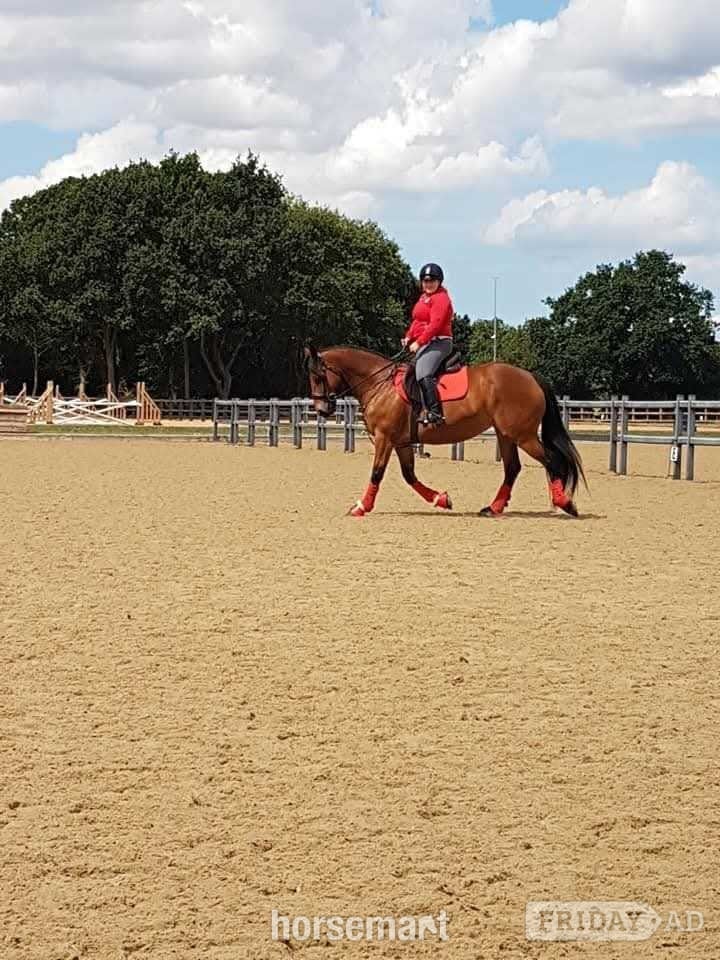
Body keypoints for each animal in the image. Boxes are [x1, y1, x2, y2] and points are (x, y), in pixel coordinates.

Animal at [304, 344, 586, 518]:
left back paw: (565, 503)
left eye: (318, 376)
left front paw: (362, 507)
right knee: (512, 468)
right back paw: (494, 507)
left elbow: (377, 473)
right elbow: (409, 476)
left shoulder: (385, 438)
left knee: (551, 460)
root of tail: (530, 376)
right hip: (505, 434)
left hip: (523, 435)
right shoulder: (401, 442)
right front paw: (441, 499)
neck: (379, 383)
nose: (320, 409)